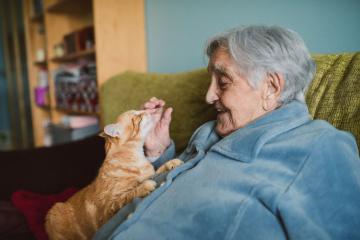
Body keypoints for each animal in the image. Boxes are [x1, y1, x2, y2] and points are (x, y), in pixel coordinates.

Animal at [45, 110, 183, 240]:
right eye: (137, 116)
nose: (148, 111)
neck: (136, 158)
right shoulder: (110, 207)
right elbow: (131, 193)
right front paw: (145, 186)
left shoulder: (150, 173)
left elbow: (159, 169)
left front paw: (172, 162)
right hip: (54, 212)